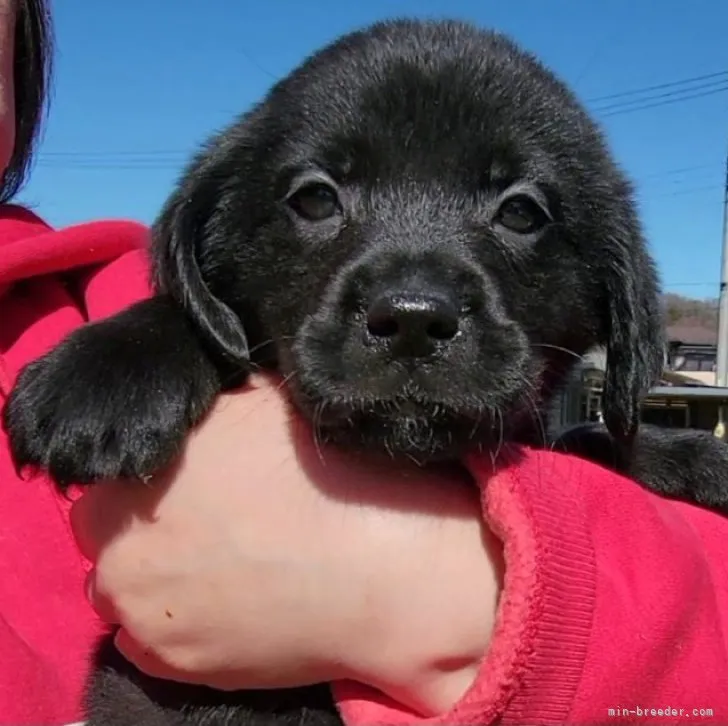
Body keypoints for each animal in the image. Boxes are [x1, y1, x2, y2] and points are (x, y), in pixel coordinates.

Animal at [4, 15, 728, 726]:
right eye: (316, 199)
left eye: (522, 212)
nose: (411, 319)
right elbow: (192, 316)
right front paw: (105, 371)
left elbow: (588, 437)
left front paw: (690, 457)